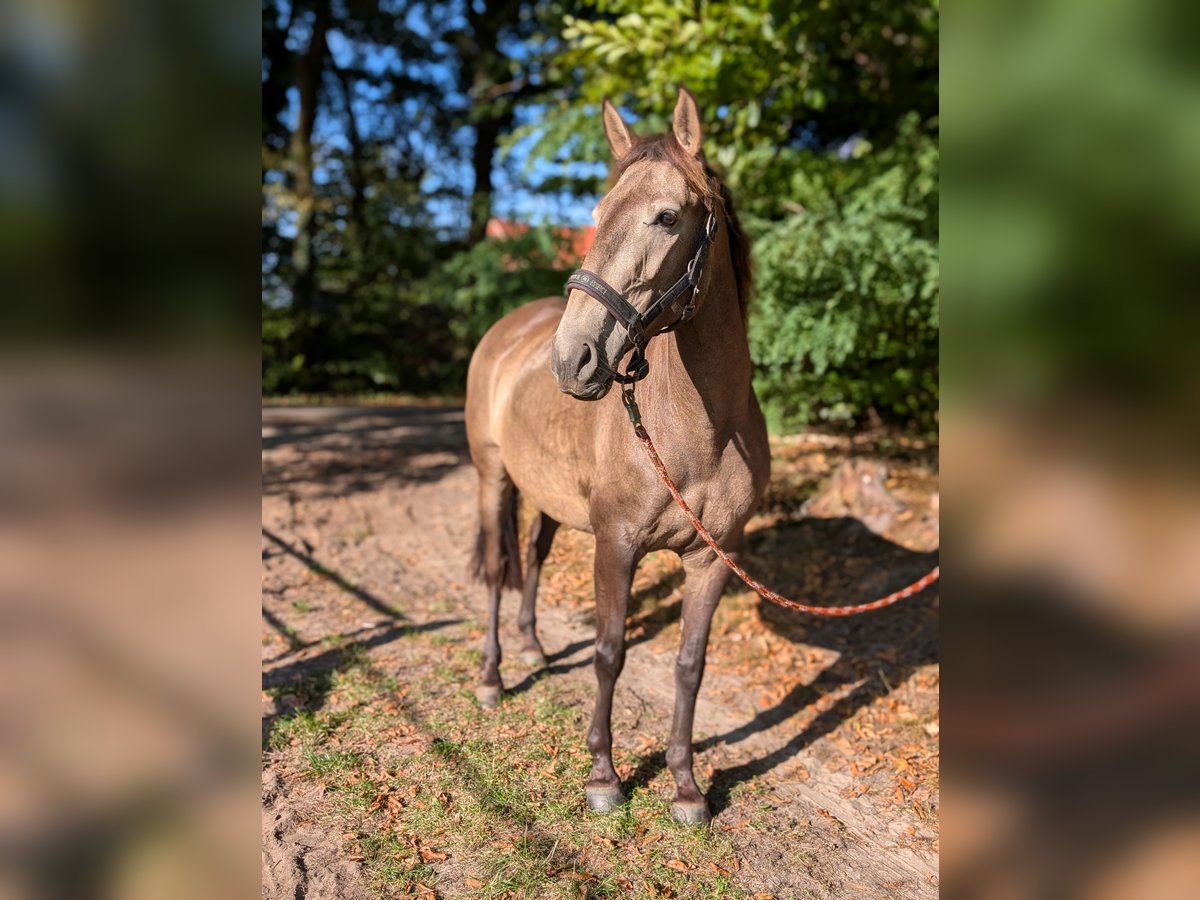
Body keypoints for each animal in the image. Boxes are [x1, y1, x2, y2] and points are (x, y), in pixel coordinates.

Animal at [464, 87, 769, 825]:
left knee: (533, 557)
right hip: (492, 478)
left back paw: (532, 646)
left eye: (666, 217)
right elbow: (609, 652)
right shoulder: (617, 544)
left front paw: (685, 785)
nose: (572, 359)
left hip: (547, 497)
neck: (700, 432)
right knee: (496, 572)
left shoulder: (714, 558)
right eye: (597, 216)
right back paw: (492, 677)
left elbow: (690, 664)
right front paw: (603, 776)